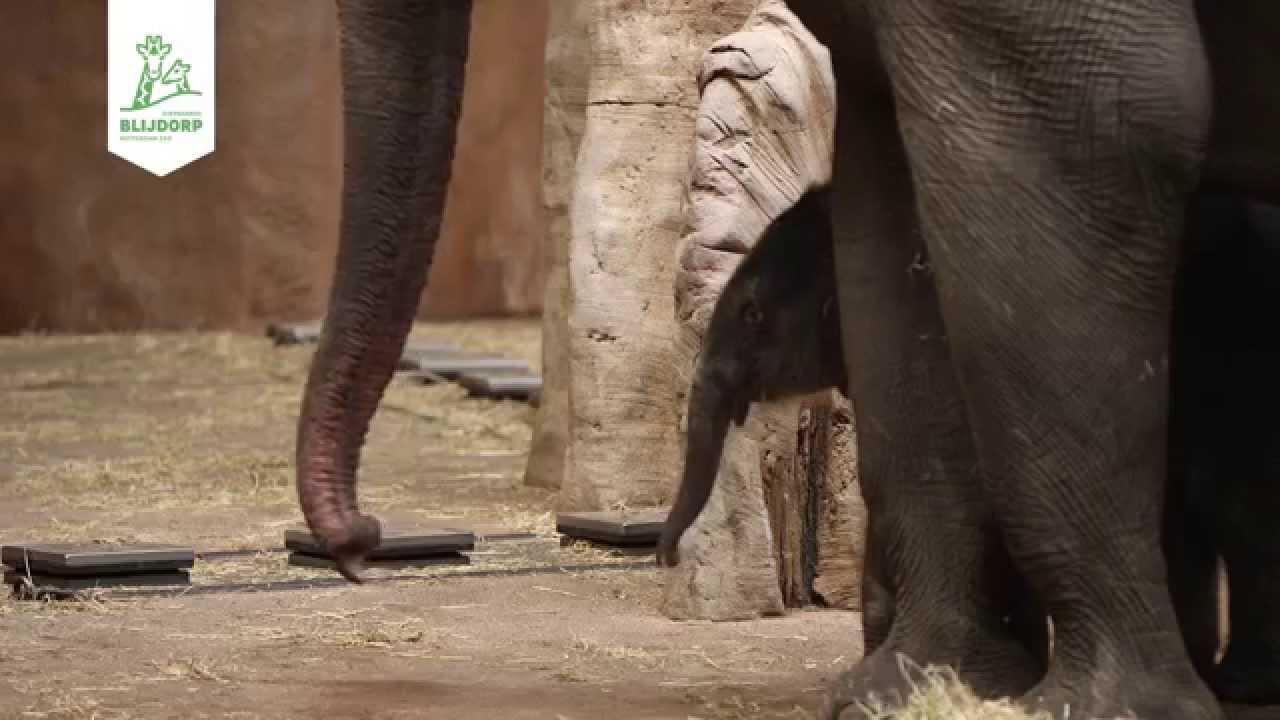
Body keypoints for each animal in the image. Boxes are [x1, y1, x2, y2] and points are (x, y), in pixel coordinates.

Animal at [295, 1, 1280, 719]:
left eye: (758, 312)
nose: (362, 545)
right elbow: (896, 207)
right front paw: (898, 693)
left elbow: (1098, 132)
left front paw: (1087, 710)